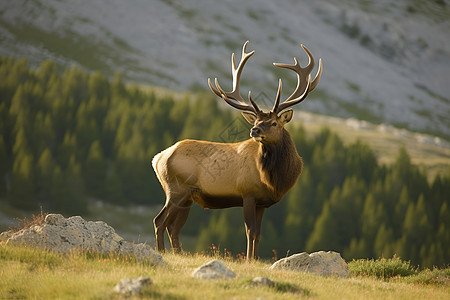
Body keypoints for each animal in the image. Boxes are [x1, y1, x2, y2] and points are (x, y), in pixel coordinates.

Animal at [153, 40, 322, 260]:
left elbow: (258, 233)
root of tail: (158, 158)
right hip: (176, 189)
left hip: (187, 197)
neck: (272, 180)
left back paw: (179, 254)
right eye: (257, 121)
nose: (254, 130)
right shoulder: (247, 193)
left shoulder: (262, 202)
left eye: (274, 123)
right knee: (160, 221)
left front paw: (255, 259)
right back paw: (160, 252)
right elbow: (250, 231)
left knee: (173, 227)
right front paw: (249, 260)